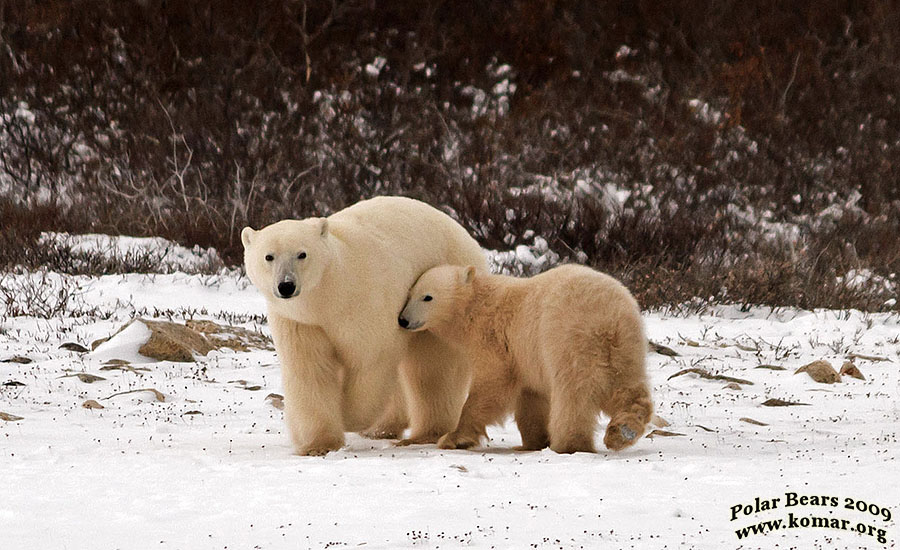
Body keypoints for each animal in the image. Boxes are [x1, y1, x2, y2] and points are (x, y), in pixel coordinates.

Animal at [241, 198, 486, 458]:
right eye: (269, 256)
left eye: (302, 254)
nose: (286, 285)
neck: (328, 296)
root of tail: (467, 237)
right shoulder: (300, 322)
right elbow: (310, 370)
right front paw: (317, 444)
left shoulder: (364, 303)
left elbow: (370, 359)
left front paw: (348, 415)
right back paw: (383, 428)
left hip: (436, 300)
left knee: (433, 370)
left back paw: (426, 432)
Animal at [398, 266, 652, 454]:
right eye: (409, 295)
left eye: (427, 297)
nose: (403, 320)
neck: (476, 306)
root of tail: (608, 317)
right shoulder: (526, 358)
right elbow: (531, 398)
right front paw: (532, 442)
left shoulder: (495, 340)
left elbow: (491, 384)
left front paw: (454, 437)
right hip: (626, 346)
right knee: (629, 387)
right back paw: (623, 431)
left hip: (568, 340)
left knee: (573, 394)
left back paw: (570, 443)